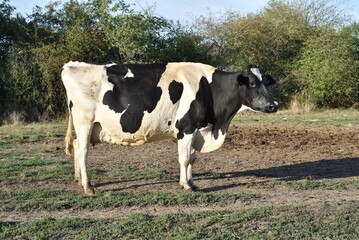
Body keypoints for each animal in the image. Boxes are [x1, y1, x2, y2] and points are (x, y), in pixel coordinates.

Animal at [62, 61, 278, 195]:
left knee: (76, 146)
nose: (273, 105)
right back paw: (88, 186)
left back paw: (77, 179)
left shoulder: (196, 130)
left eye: (267, 83)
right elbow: (184, 159)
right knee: (82, 151)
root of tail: (72, 65)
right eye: (252, 83)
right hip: (84, 122)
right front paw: (186, 185)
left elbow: (191, 158)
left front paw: (192, 182)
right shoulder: (187, 127)